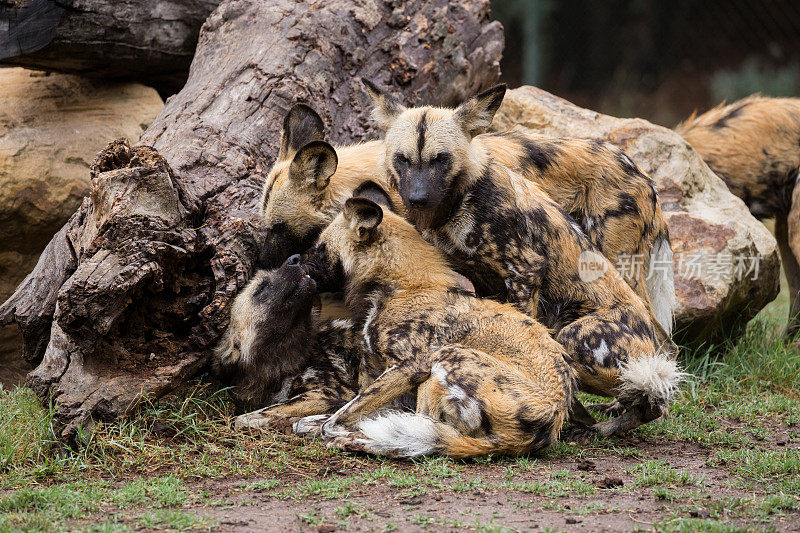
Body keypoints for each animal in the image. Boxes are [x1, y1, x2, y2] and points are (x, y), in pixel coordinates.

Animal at [296, 195, 580, 458]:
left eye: (320, 249)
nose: (296, 260)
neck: (402, 287)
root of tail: (549, 423)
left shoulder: (408, 368)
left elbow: (335, 421)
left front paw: (336, 429)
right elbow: (334, 415)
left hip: (445, 357)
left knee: (422, 431)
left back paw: (358, 440)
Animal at [362, 81, 680, 434]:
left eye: (441, 159)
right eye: (402, 159)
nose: (417, 198)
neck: (456, 204)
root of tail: (644, 176)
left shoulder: (524, 272)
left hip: (579, 328)